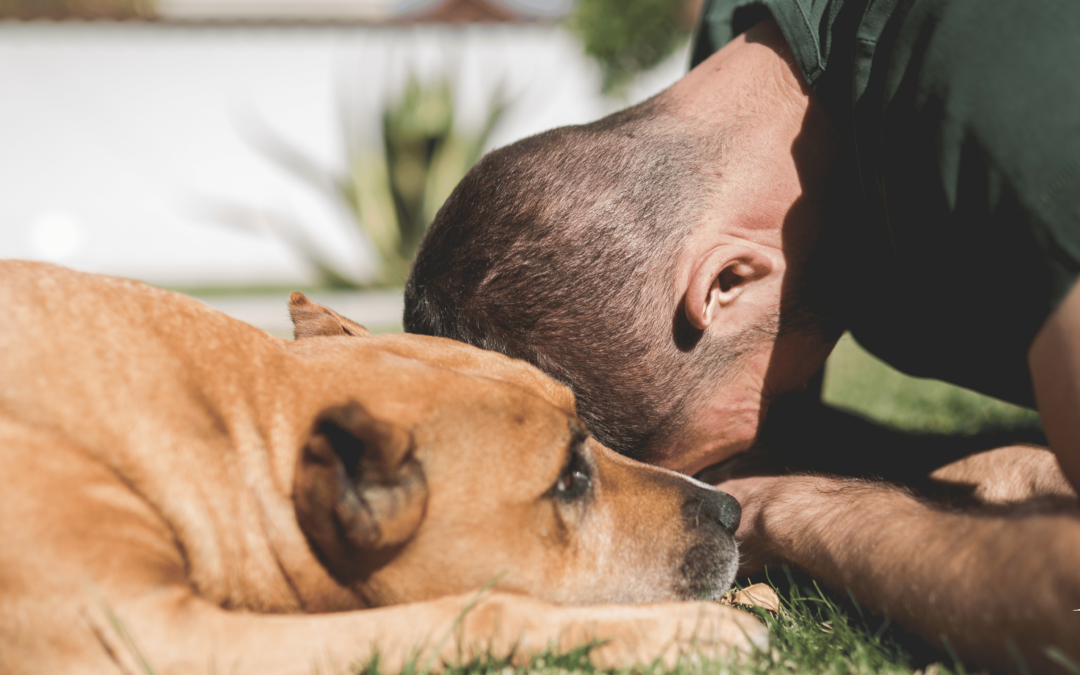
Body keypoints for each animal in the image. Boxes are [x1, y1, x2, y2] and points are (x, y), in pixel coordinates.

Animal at [0, 262, 764, 673]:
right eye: (567, 480)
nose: (733, 511)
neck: (232, 424)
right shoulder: (159, 639)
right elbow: (482, 611)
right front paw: (691, 632)